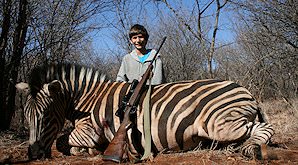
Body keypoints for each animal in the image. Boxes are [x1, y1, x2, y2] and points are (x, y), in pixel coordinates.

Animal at [15, 63, 274, 161]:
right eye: (27, 117)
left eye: (46, 116)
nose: (32, 153)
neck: (86, 99)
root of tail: (246, 90)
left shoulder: (91, 130)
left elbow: (62, 140)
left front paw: (83, 151)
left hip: (220, 124)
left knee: (264, 129)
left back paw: (252, 150)